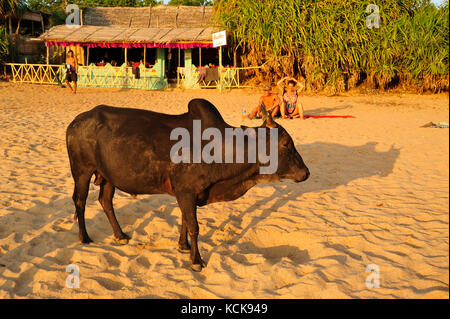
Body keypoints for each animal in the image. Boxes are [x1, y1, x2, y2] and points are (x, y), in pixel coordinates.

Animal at [66, 99, 310, 272]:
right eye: (286, 143)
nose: (306, 173)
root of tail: (77, 120)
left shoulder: (186, 194)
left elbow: (185, 220)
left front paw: (183, 247)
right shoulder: (186, 192)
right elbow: (194, 226)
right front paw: (196, 260)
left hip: (108, 176)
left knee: (105, 201)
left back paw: (120, 235)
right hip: (82, 171)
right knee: (80, 201)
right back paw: (84, 237)